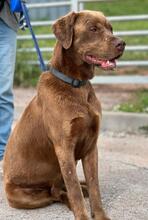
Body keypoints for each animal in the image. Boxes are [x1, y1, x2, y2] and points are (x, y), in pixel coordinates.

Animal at [3, 9, 125, 219]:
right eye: (93, 29)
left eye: (110, 28)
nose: (122, 43)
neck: (76, 85)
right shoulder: (64, 147)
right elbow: (73, 188)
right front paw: (82, 214)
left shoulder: (91, 146)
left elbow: (95, 186)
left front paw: (99, 214)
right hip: (25, 197)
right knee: (55, 192)